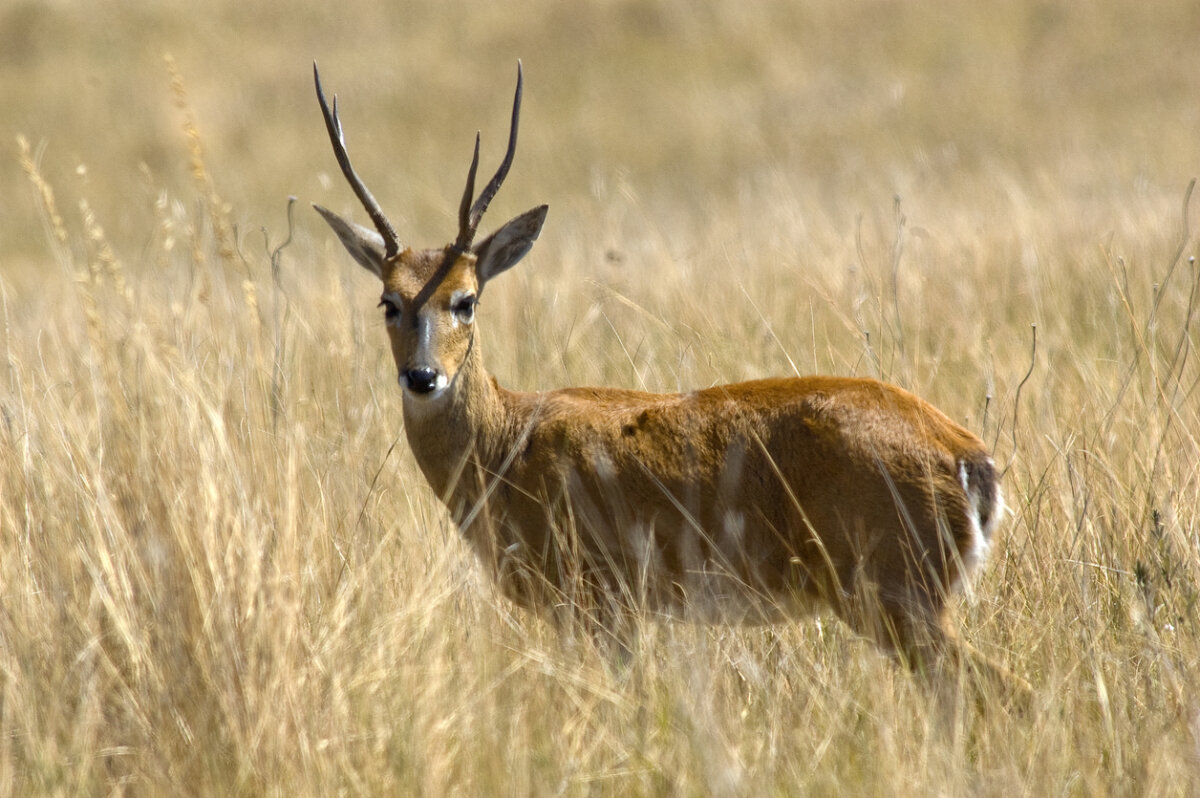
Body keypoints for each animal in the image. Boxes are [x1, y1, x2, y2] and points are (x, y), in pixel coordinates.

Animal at [314, 62, 1027, 696]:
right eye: (388, 301)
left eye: (465, 299)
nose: (422, 376)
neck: (506, 443)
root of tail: (968, 455)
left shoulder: (603, 603)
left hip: (895, 598)